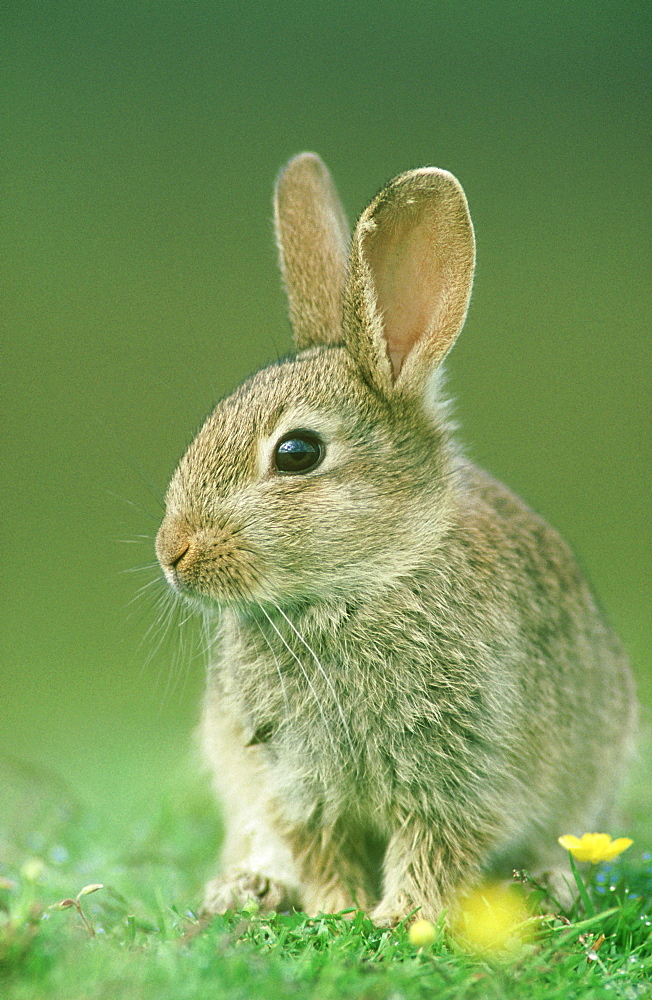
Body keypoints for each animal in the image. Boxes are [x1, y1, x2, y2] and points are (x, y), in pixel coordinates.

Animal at [157, 152, 636, 924]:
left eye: (297, 454)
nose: (172, 552)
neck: (358, 586)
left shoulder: (461, 771)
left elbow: (434, 844)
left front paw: (404, 918)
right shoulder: (292, 780)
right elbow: (321, 845)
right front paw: (339, 911)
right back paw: (248, 889)